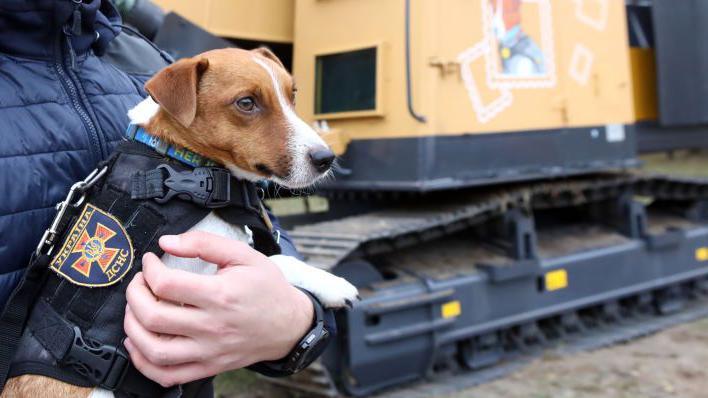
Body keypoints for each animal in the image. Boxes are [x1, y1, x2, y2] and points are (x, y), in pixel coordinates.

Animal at [4, 47, 360, 398]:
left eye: (292, 94)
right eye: (246, 103)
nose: (326, 158)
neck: (178, 160)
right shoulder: (179, 279)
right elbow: (273, 262)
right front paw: (332, 283)